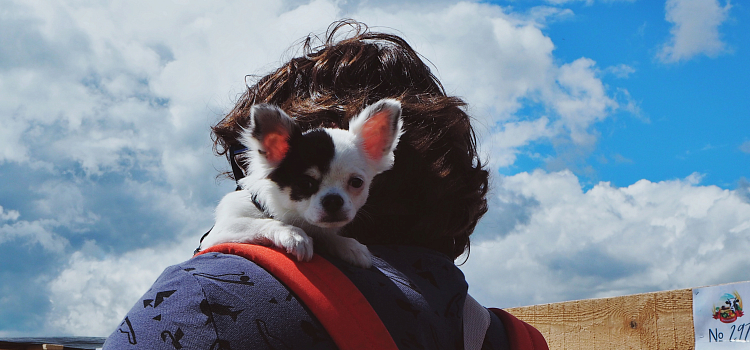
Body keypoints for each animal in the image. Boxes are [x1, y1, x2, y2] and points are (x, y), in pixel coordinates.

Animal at [197, 98, 402, 268]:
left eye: (357, 183)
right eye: (305, 183)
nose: (333, 200)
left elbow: (325, 234)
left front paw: (348, 245)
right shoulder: (221, 231)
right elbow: (259, 222)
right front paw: (294, 235)